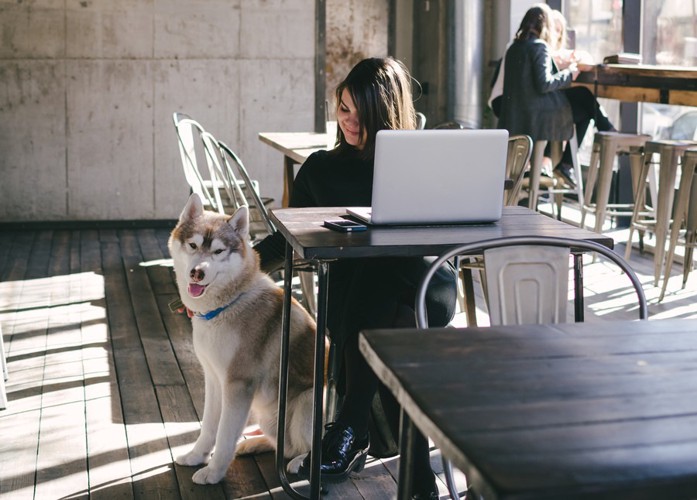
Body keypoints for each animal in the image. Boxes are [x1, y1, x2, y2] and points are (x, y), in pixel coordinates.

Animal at [169, 193, 316, 482]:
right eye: (193, 245)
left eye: (218, 251)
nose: (197, 272)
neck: (227, 305)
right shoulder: (215, 379)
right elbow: (208, 427)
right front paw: (196, 456)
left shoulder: (238, 385)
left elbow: (225, 434)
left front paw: (213, 472)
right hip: (269, 414)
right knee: (285, 446)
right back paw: (253, 444)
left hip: (307, 401)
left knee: (306, 447)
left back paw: (302, 462)